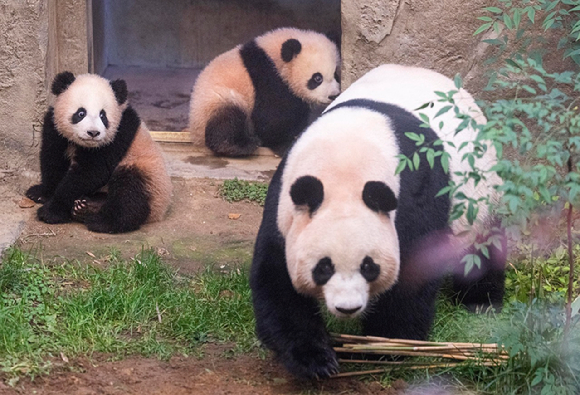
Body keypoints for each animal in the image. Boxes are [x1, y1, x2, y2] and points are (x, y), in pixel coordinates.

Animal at [27, 72, 172, 234]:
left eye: (103, 116)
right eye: (81, 113)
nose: (93, 133)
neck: (83, 144)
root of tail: (160, 212)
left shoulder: (118, 135)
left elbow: (90, 172)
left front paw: (50, 211)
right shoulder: (55, 128)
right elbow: (53, 160)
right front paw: (40, 193)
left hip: (148, 174)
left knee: (129, 191)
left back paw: (103, 221)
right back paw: (86, 207)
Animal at [188, 27, 340, 157]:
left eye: (336, 74)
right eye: (317, 78)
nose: (333, 95)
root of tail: (194, 134)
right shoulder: (265, 77)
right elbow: (271, 117)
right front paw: (286, 143)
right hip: (215, 101)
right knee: (227, 118)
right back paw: (238, 145)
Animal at [251, 63, 506, 378]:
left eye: (368, 266)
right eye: (323, 268)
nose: (347, 308)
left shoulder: (413, 195)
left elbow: (412, 273)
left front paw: (386, 345)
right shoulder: (285, 205)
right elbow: (276, 278)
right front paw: (315, 359)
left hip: (480, 192)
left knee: (481, 247)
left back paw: (481, 302)